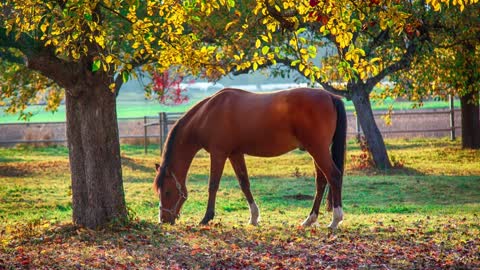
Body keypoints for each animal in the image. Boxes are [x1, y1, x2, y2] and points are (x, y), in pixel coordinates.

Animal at [153, 87, 344, 229]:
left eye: (167, 191)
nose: (163, 220)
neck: (207, 114)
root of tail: (330, 96)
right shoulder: (235, 154)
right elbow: (244, 183)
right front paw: (254, 218)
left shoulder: (218, 154)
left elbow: (213, 185)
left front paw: (206, 218)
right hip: (316, 152)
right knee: (321, 182)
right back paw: (309, 220)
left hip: (318, 150)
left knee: (334, 176)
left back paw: (335, 220)